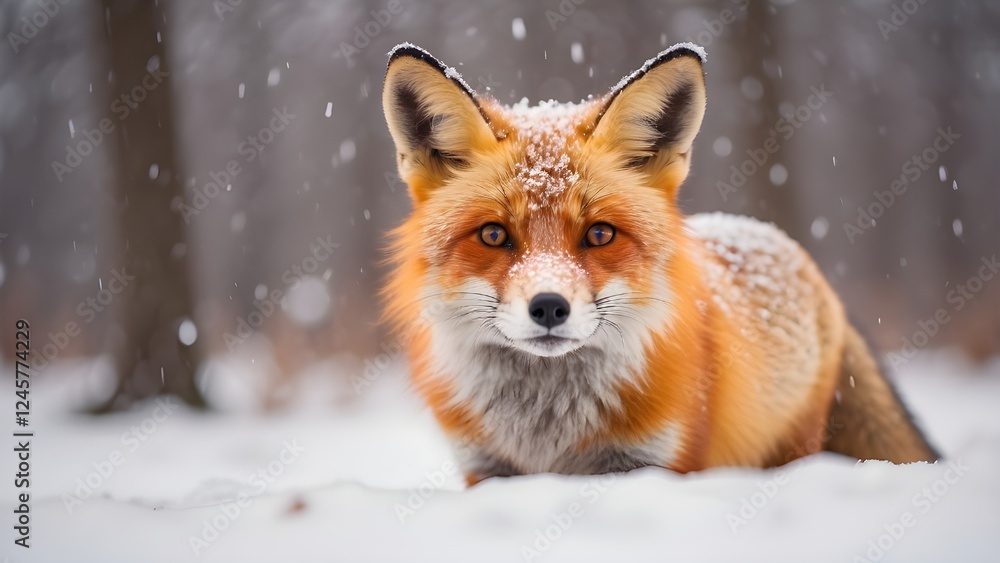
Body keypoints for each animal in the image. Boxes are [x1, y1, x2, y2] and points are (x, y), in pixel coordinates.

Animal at [380, 42, 938, 486]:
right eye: (494, 235)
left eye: (600, 234)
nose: (549, 307)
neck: (544, 433)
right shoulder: (486, 468)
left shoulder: (651, 464)